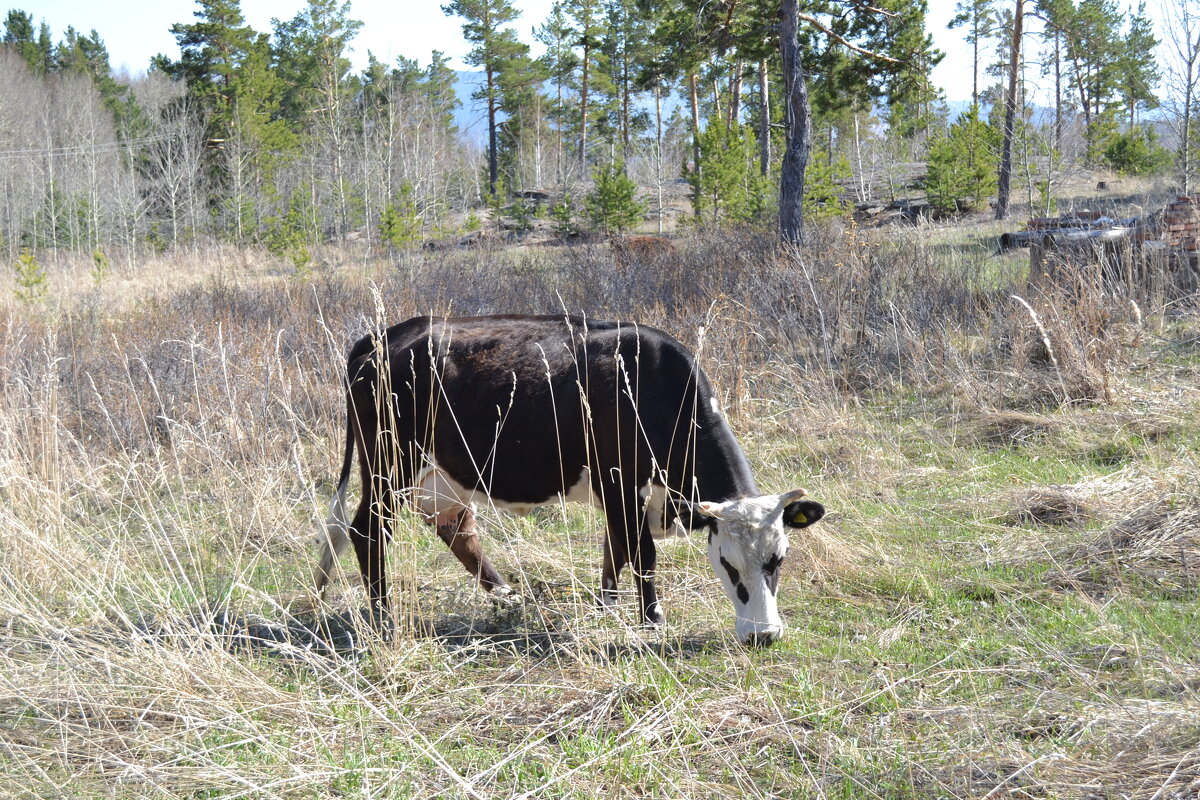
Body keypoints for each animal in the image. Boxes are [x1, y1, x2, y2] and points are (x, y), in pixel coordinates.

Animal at [312, 316, 825, 647]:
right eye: (727, 563)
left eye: (778, 559)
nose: (763, 636)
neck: (651, 383)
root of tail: (383, 336)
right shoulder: (619, 483)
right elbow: (641, 555)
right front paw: (652, 621)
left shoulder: (622, 497)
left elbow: (615, 550)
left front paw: (606, 606)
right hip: (388, 464)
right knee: (368, 531)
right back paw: (383, 617)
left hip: (442, 475)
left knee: (456, 530)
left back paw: (507, 597)